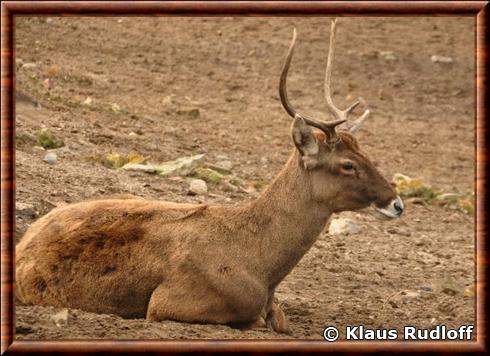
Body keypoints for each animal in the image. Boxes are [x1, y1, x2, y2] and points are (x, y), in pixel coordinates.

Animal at [17, 19, 404, 336]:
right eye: (347, 164)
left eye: (365, 153)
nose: (396, 202)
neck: (261, 266)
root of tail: (22, 245)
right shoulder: (166, 303)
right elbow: (250, 321)